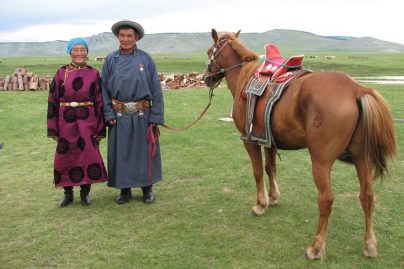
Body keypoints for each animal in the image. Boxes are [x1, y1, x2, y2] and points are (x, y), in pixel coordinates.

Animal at [200, 28, 396, 258]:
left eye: (209, 52)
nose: (206, 78)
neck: (243, 76)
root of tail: (356, 90)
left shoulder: (249, 141)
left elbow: (257, 171)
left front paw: (260, 205)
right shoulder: (269, 140)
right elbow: (270, 167)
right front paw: (273, 197)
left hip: (321, 162)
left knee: (326, 200)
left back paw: (316, 247)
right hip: (360, 157)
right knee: (367, 196)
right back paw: (369, 245)